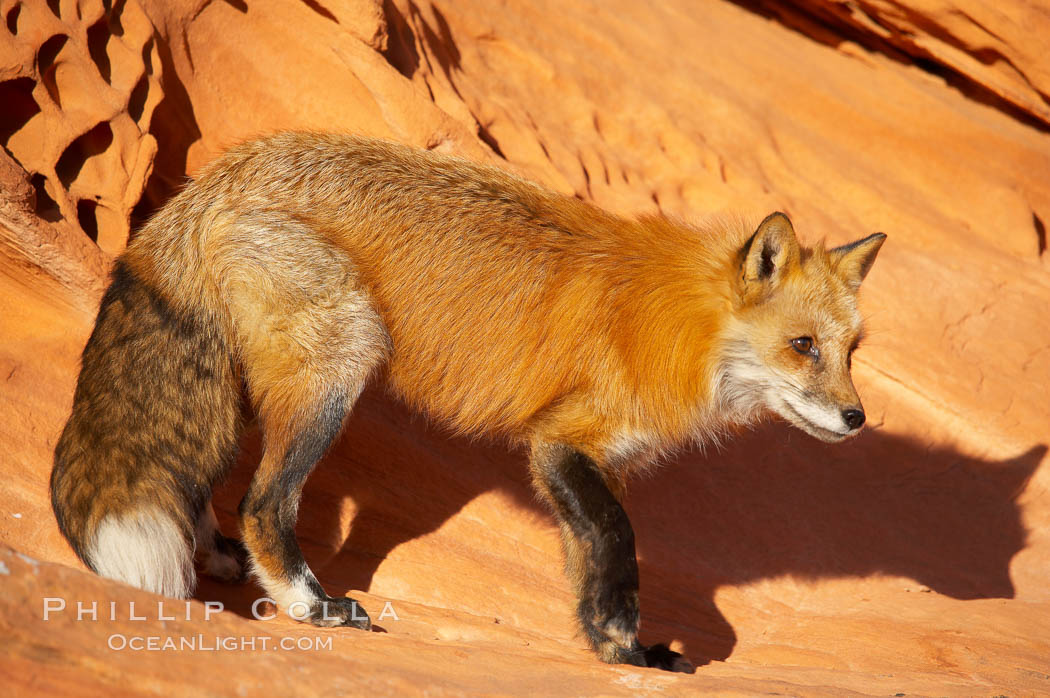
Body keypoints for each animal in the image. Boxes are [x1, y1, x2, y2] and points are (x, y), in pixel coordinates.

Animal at [51, 130, 886, 671]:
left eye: (853, 350)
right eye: (803, 346)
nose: (857, 419)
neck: (682, 329)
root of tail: (221, 172)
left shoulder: (585, 462)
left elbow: (588, 564)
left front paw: (617, 650)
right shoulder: (561, 442)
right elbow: (618, 543)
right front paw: (627, 637)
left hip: (244, 389)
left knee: (203, 485)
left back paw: (221, 558)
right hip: (340, 365)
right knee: (264, 502)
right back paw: (309, 605)